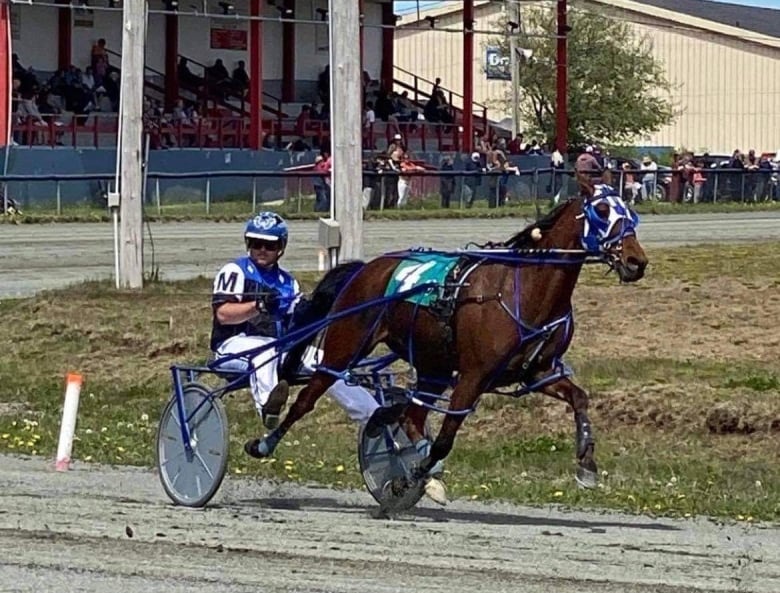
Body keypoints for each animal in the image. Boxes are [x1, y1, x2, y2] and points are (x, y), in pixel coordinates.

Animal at [248, 172, 644, 500]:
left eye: (632, 212)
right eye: (603, 210)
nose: (636, 261)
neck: (523, 289)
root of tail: (365, 268)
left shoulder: (538, 371)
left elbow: (579, 399)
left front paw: (586, 465)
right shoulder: (473, 377)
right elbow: (444, 440)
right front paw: (412, 476)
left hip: (433, 368)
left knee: (411, 416)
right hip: (346, 346)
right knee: (307, 398)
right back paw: (265, 441)